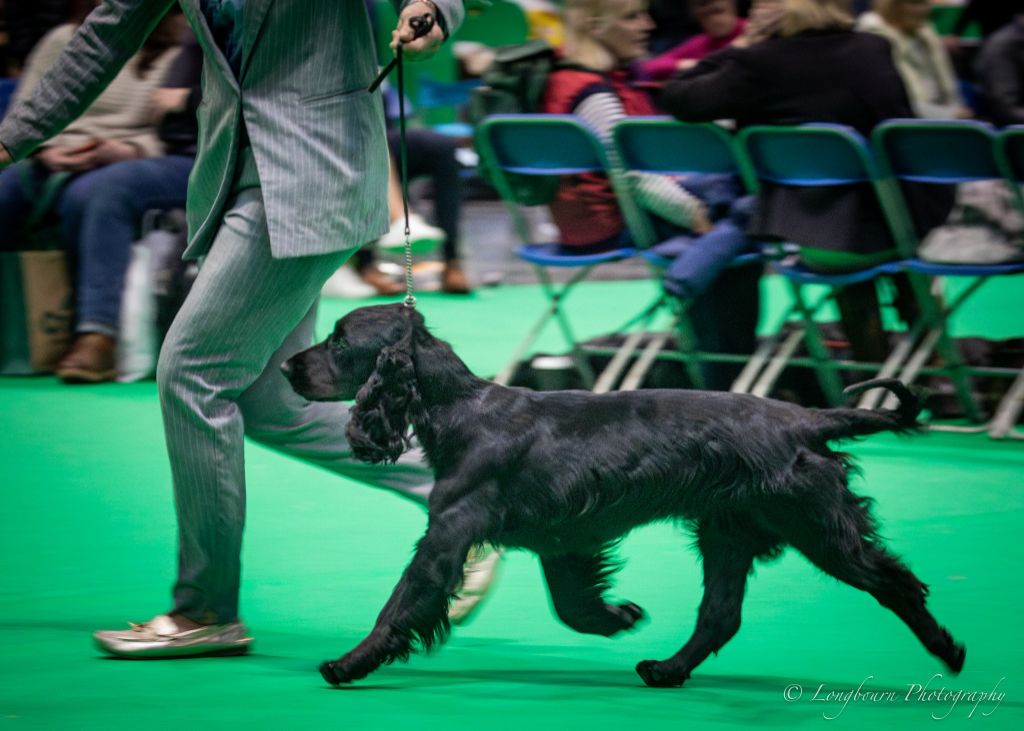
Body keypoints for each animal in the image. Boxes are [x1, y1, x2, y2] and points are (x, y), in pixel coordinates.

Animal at [282, 301, 966, 683]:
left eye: (339, 340)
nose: (286, 365)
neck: (460, 410)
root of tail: (805, 420)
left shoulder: (450, 532)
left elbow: (402, 601)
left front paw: (348, 663)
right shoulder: (561, 540)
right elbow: (571, 605)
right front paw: (619, 616)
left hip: (815, 525)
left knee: (895, 582)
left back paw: (949, 649)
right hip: (729, 530)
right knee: (720, 614)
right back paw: (666, 670)